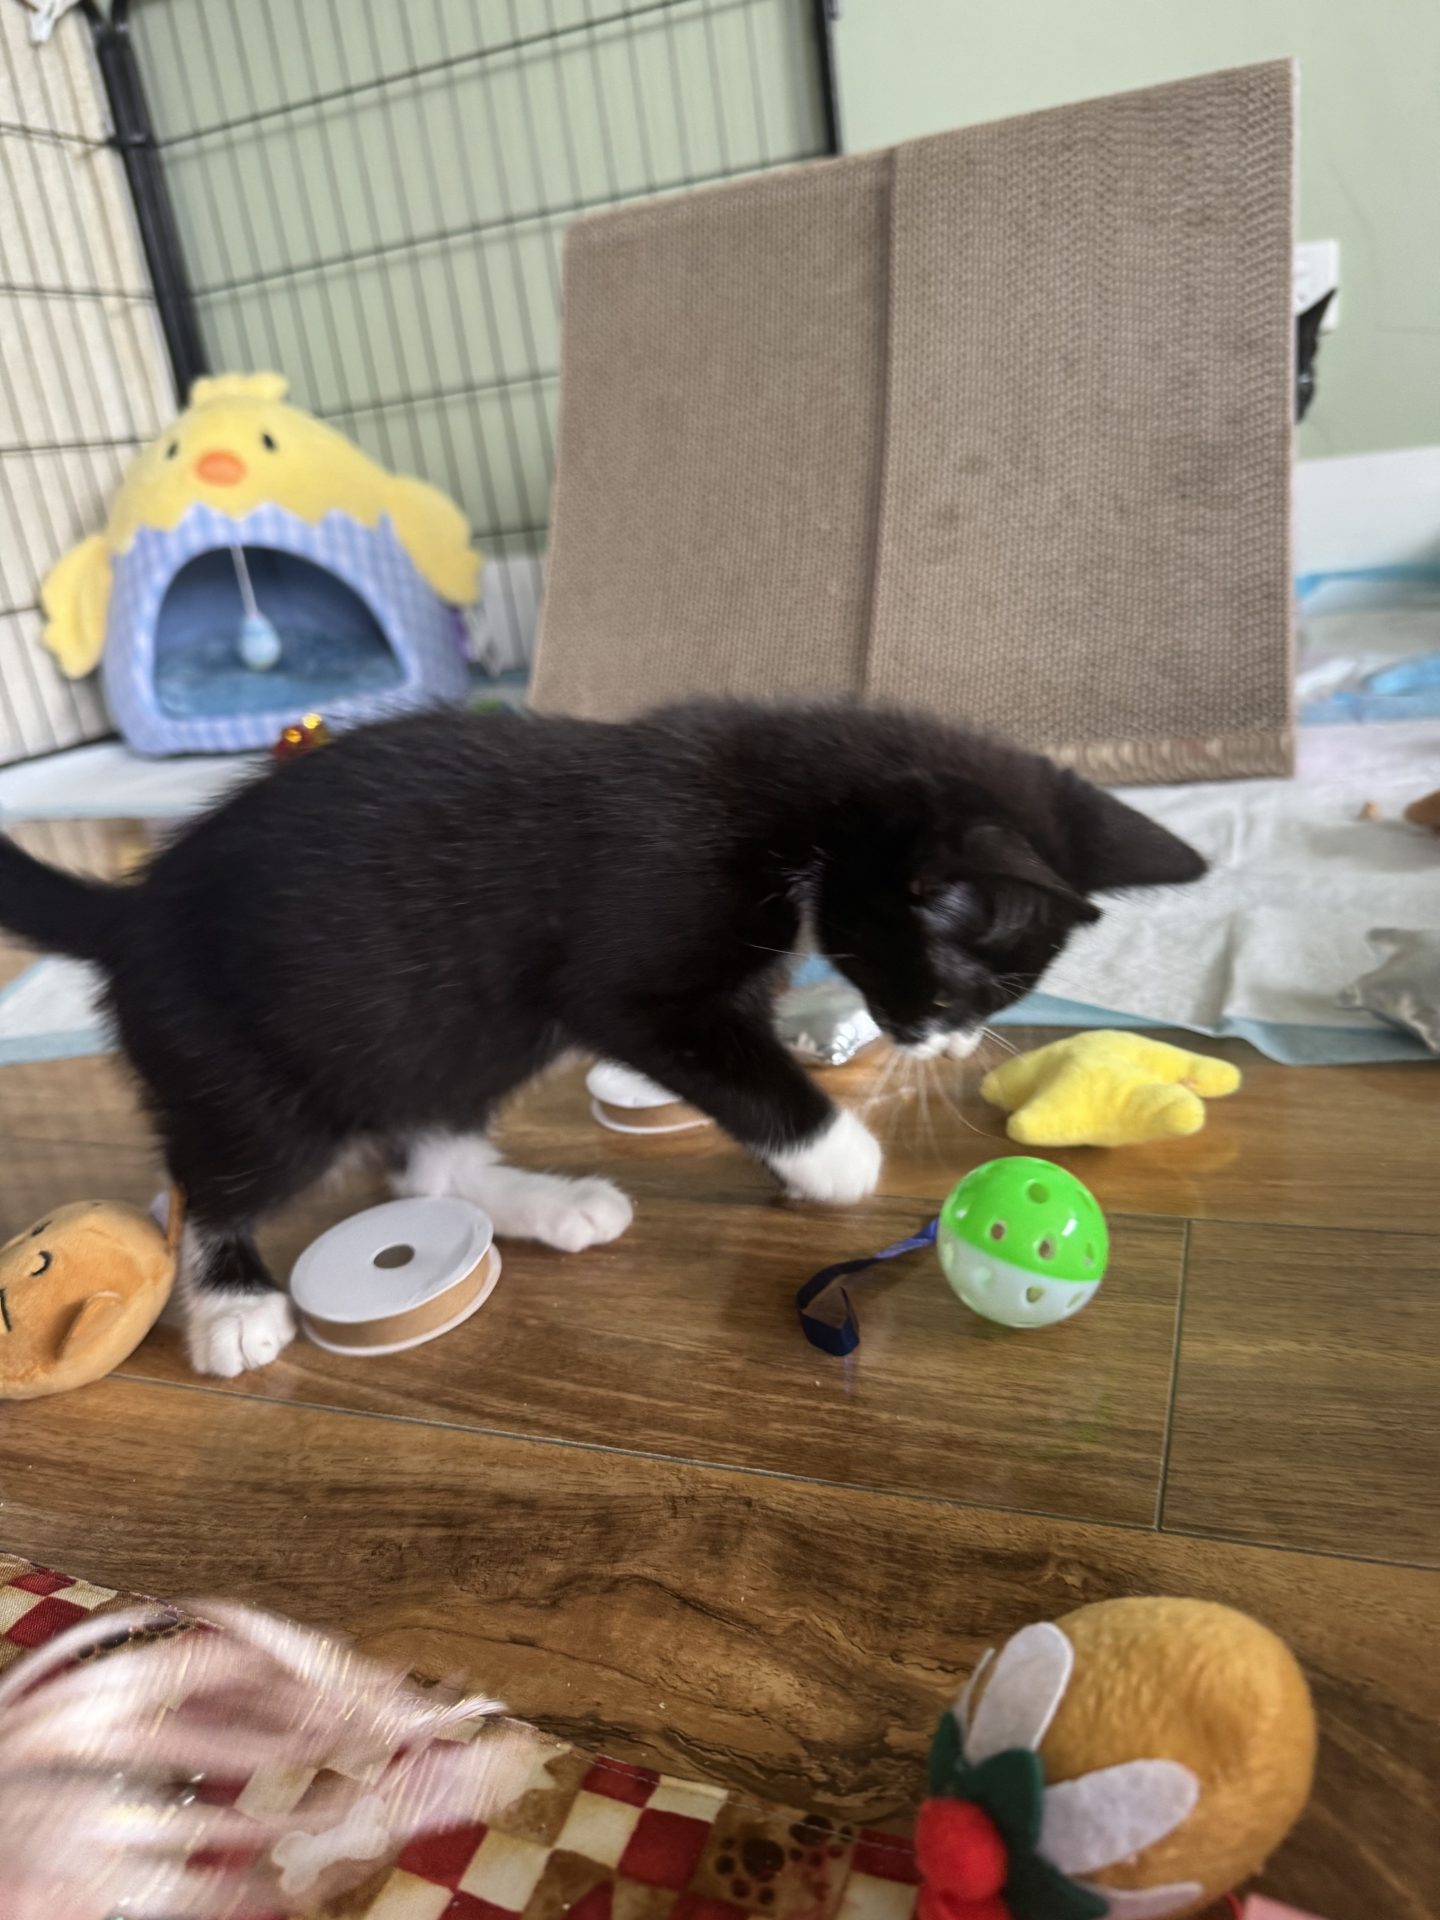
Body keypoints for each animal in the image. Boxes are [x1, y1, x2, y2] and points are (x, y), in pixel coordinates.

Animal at [0, 700, 1205, 1378]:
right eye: (956, 987)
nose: (946, 1046)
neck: (800, 812)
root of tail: (132, 913)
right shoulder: (633, 972)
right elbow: (741, 1070)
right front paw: (840, 1159)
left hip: (449, 1029)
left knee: (427, 1154)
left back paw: (550, 1205)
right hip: (254, 1064)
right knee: (213, 1178)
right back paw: (232, 1305)